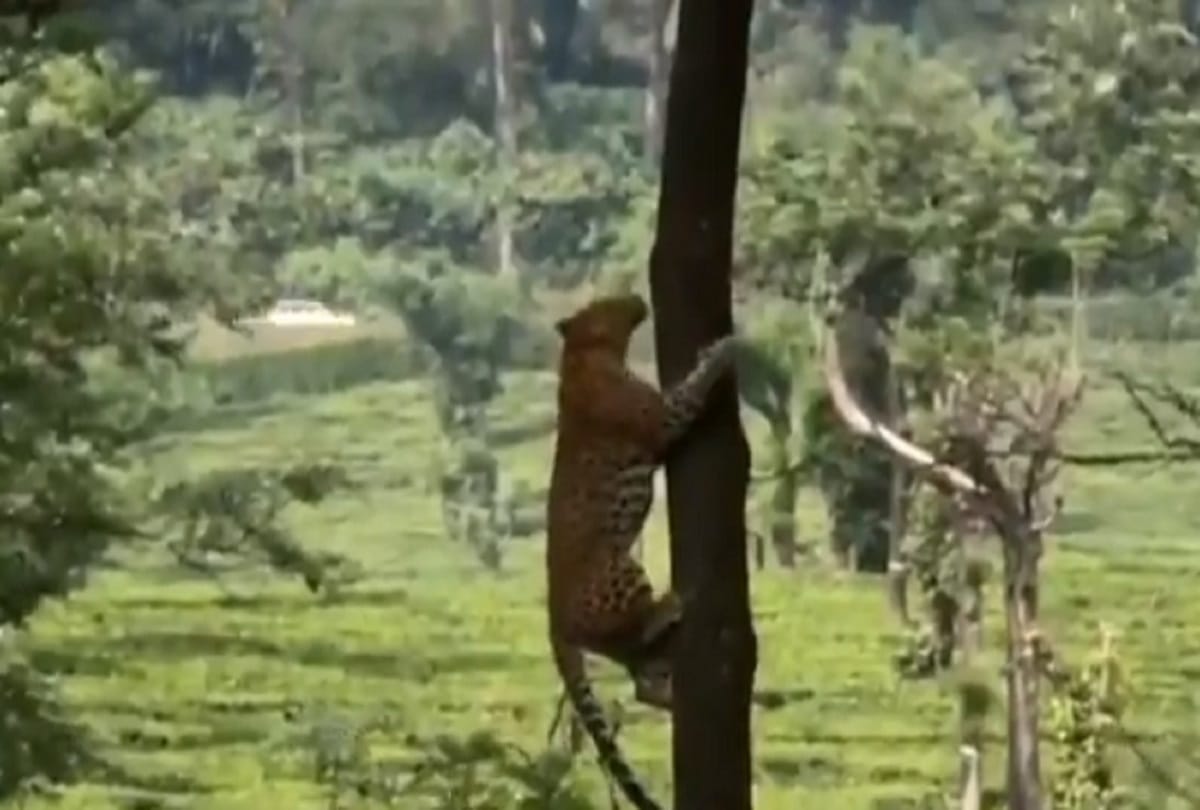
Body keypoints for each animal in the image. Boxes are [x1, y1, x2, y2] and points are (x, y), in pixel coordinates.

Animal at [546, 292, 738, 810]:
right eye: (605, 300)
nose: (634, 296)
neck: (580, 355)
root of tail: (552, 618)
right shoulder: (663, 418)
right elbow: (691, 390)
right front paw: (723, 350)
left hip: (619, 636)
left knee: (637, 677)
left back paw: (666, 691)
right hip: (621, 568)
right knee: (637, 628)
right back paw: (670, 604)